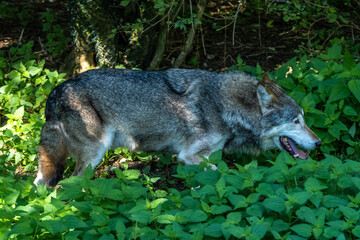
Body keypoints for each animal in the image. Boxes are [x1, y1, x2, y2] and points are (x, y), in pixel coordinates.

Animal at [33, 68, 320, 187]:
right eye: (296, 122)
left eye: (304, 119)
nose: (318, 143)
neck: (224, 105)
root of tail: (56, 91)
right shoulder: (188, 155)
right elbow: (221, 173)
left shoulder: (205, 156)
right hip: (94, 155)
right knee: (67, 185)